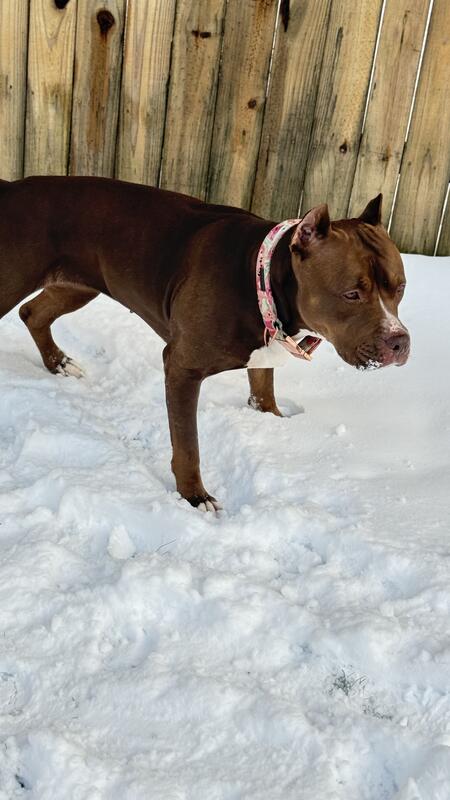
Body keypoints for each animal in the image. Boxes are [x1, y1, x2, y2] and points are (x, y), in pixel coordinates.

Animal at [0, 177, 409, 510]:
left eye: (400, 287)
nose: (399, 342)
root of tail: (11, 189)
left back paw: (58, 363)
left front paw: (275, 426)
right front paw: (194, 496)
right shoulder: (182, 367)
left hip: (78, 283)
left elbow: (263, 394)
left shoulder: (261, 356)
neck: (260, 278)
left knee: (33, 313)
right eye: (352, 294)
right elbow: (188, 445)